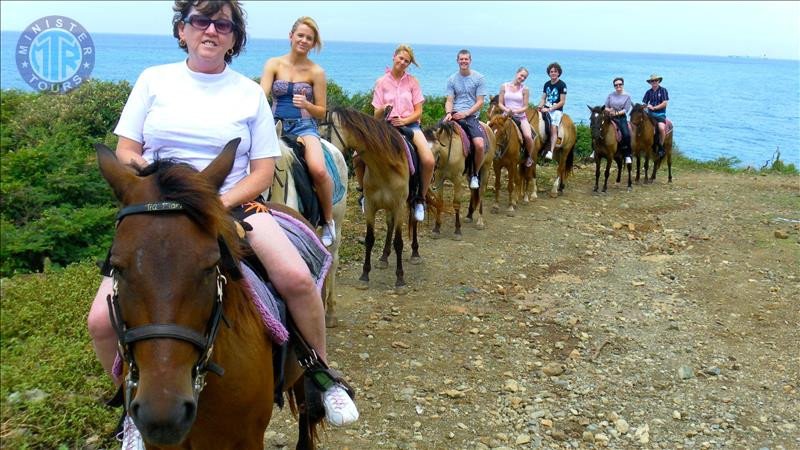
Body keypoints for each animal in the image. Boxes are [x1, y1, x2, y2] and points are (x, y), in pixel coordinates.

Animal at [318, 108, 418, 292]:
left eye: (323, 134)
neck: (384, 166)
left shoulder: (399, 206)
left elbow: (399, 242)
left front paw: (400, 279)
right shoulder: (371, 206)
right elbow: (370, 239)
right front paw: (364, 276)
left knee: (414, 220)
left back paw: (415, 253)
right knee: (389, 224)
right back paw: (384, 257)